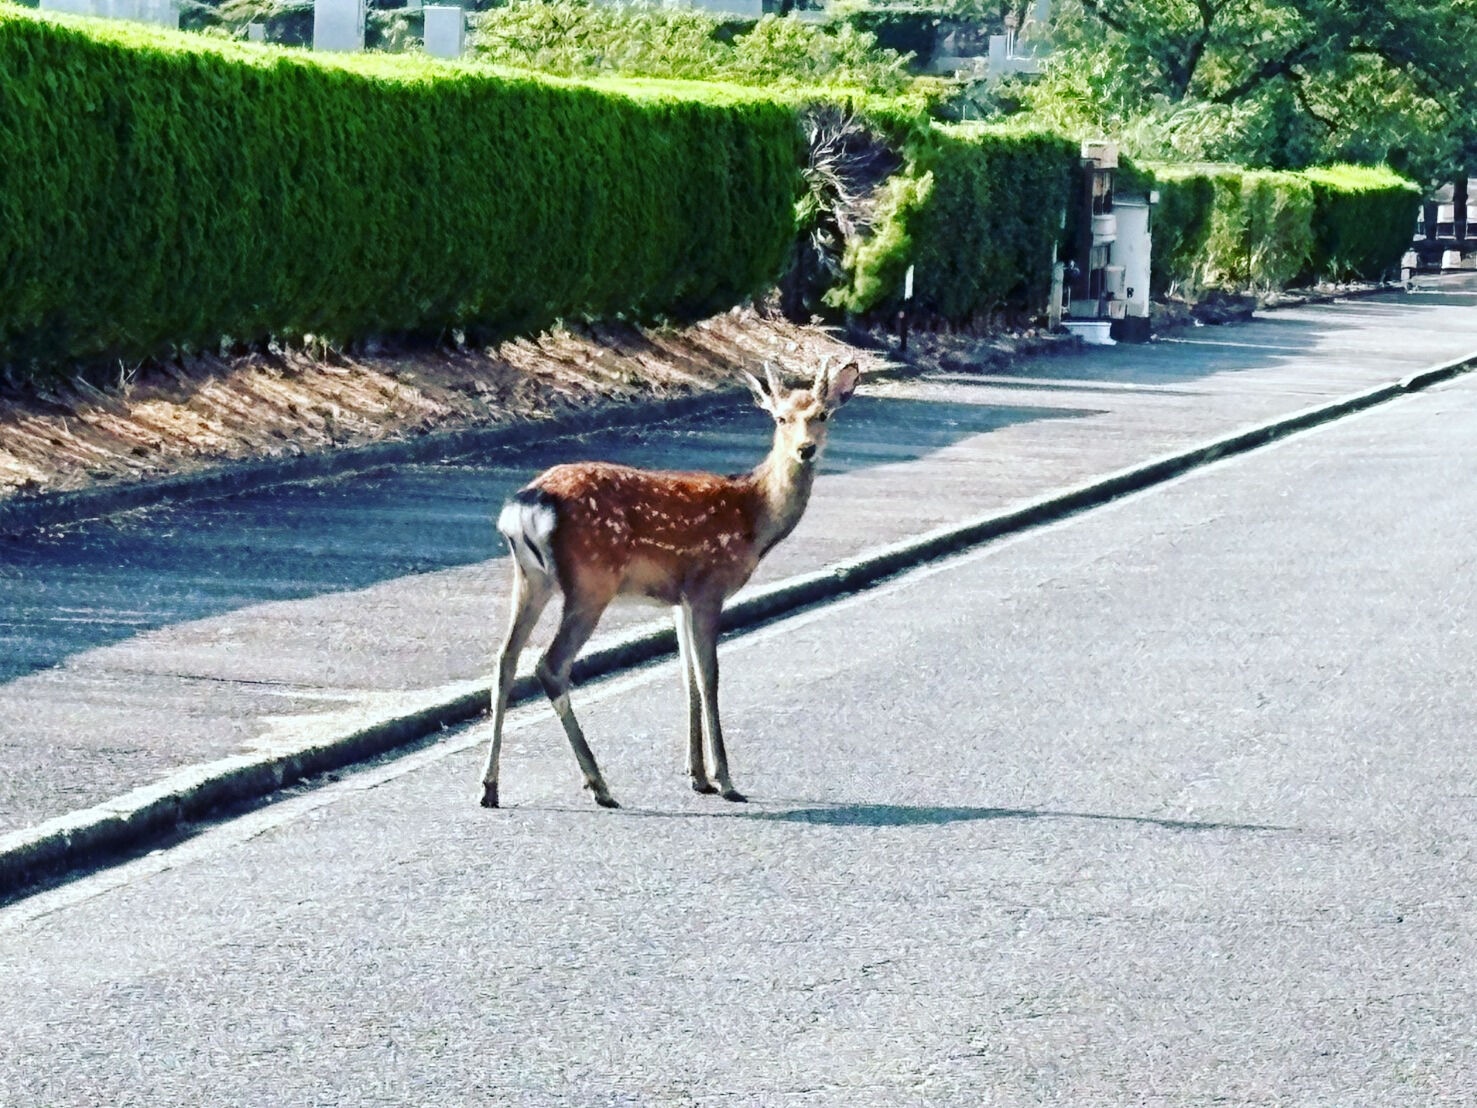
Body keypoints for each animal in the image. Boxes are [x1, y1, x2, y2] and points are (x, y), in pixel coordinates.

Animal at [477, 357, 860, 810]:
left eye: (822, 415)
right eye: (780, 418)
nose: (806, 449)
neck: (754, 517)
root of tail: (527, 504)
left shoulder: (679, 599)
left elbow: (687, 677)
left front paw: (697, 776)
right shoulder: (708, 586)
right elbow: (710, 677)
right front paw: (725, 780)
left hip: (531, 578)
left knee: (505, 659)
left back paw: (490, 786)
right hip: (591, 581)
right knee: (550, 665)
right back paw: (599, 784)